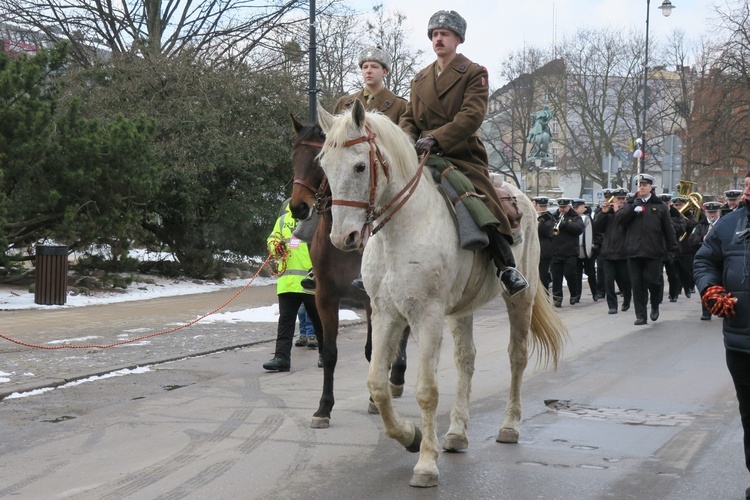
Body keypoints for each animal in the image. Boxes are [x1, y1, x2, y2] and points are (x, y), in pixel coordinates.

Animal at [290, 115, 408, 428]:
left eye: (317, 161)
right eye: (293, 157)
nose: (297, 207)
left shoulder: (370, 301)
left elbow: (372, 350)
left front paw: (374, 400)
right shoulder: (325, 298)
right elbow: (329, 353)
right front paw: (323, 408)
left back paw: (397, 375)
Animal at [314, 100, 568, 488]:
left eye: (359, 166)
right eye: (325, 166)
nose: (344, 238)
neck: (403, 229)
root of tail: (523, 197)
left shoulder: (427, 316)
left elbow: (426, 391)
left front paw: (426, 463)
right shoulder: (386, 313)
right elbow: (378, 384)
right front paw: (409, 436)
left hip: (518, 300)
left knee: (517, 357)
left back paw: (509, 426)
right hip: (461, 309)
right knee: (466, 359)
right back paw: (457, 433)